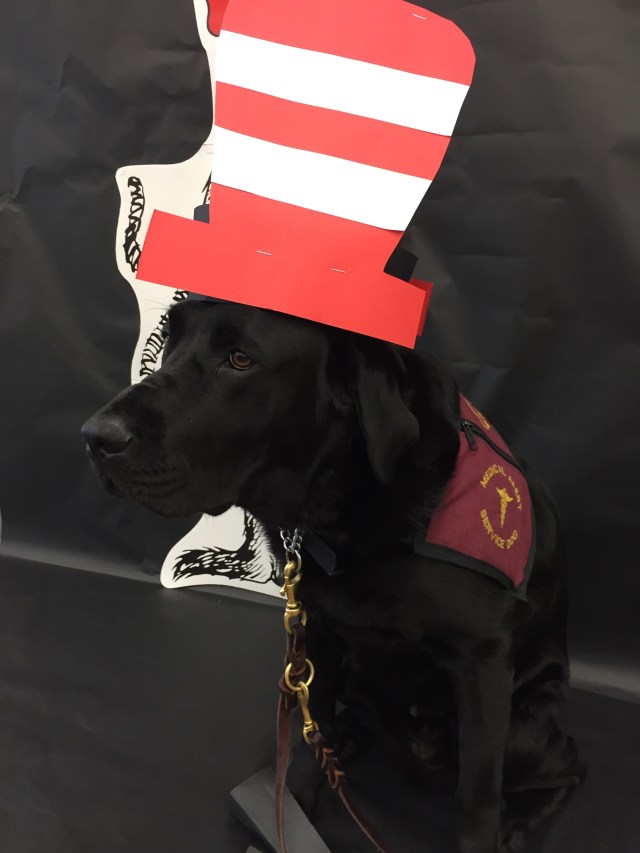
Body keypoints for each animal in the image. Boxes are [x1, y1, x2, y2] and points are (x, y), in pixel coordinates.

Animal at [82, 299, 584, 852]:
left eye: (240, 359)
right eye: (170, 341)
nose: (95, 439)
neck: (343, 502)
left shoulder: (483, 662)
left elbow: (477, 797)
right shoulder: (315, 630)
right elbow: (310, 737)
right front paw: (293, 813)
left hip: (521, 732)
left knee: (569, 766)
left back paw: (520, 822)